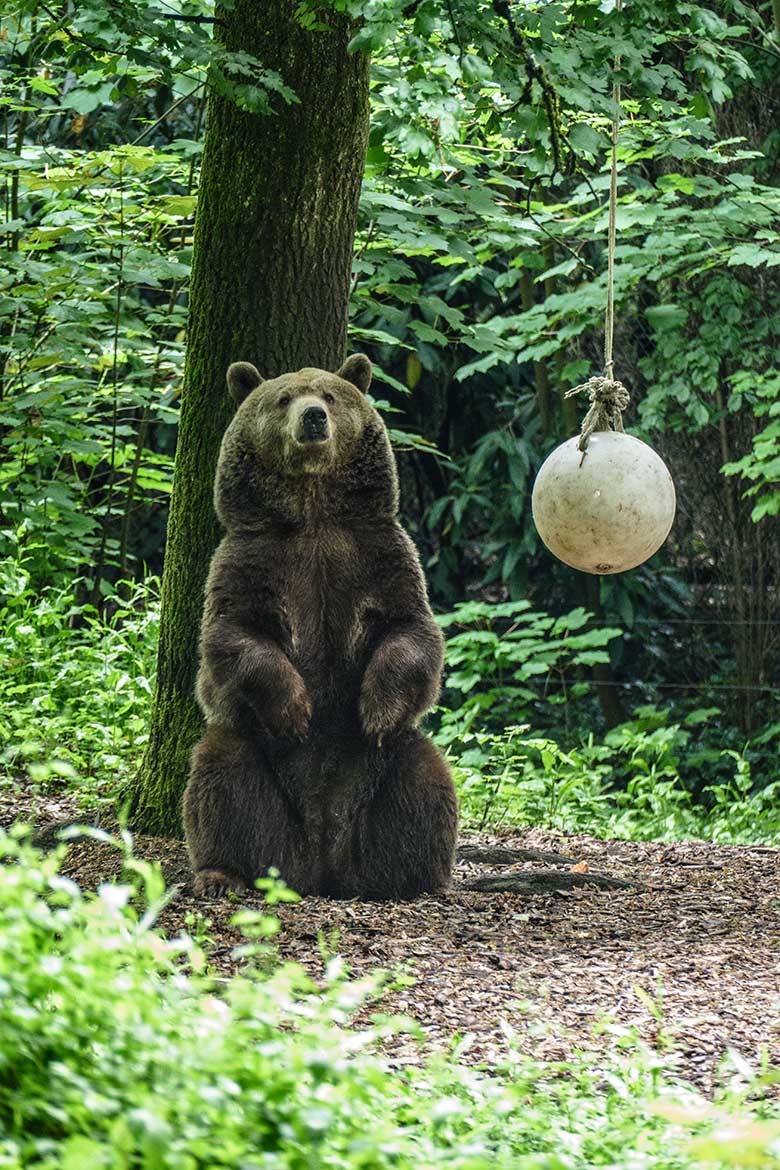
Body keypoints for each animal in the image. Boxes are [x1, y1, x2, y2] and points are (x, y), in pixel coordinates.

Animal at [182, 351, 458, 898]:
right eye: (283, 397)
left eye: (330, 394)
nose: (313, 417)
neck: (313, 514)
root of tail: (323, 864)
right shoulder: (251, 558)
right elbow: (234, 635)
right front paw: (295, 709)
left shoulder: (377, 552)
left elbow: (410, 630)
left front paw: (377, 709)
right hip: (264, 786)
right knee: (221, 777)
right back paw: (221, 873)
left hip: (384, 775)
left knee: (426, 782)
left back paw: (423, 878)